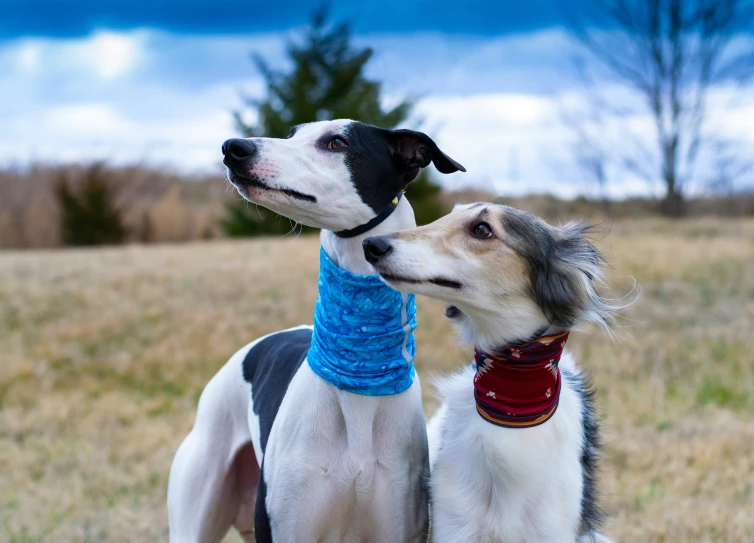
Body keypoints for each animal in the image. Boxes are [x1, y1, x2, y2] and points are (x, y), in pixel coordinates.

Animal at [362, 204, 624, 543]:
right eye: (448, 215)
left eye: (482, 230)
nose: (372, 244)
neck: (510, 414)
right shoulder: (456, 524)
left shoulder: (551, 528)